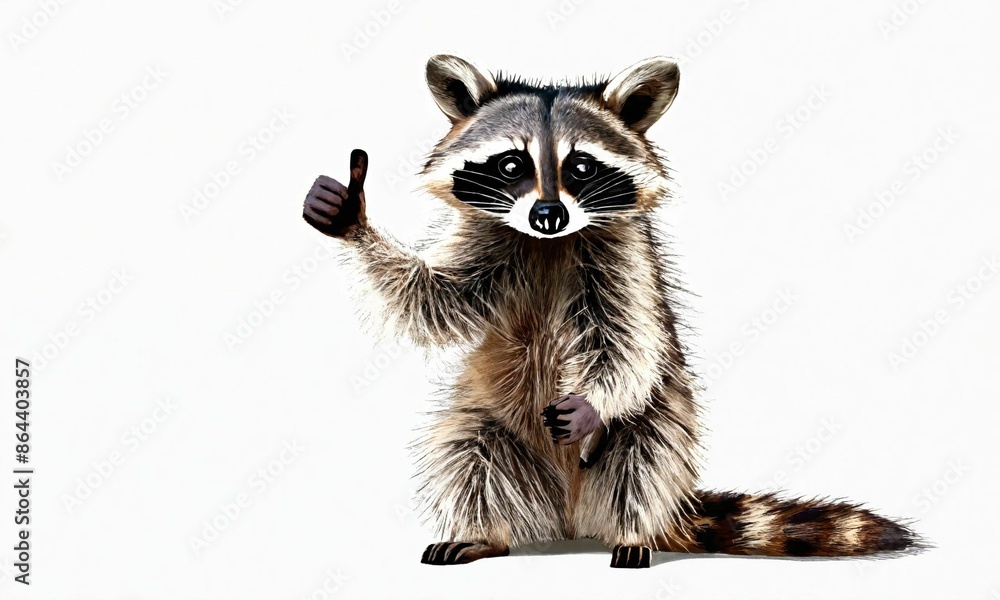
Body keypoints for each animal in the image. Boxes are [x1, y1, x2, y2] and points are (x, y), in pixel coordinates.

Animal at [301, 55, 922, 568]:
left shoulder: (624, 257)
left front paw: (591, 402)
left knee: (643, 454)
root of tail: (570, 518)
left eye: (580, 167)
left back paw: (633, 533)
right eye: (510, 165)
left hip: (665, 420)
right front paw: (352, 221)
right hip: (488, 421)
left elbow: (628, 342)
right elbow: (433, 299)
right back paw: (488, 533)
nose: (548, 215)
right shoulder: (488, 242)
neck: (549, 244)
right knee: (466, 450)